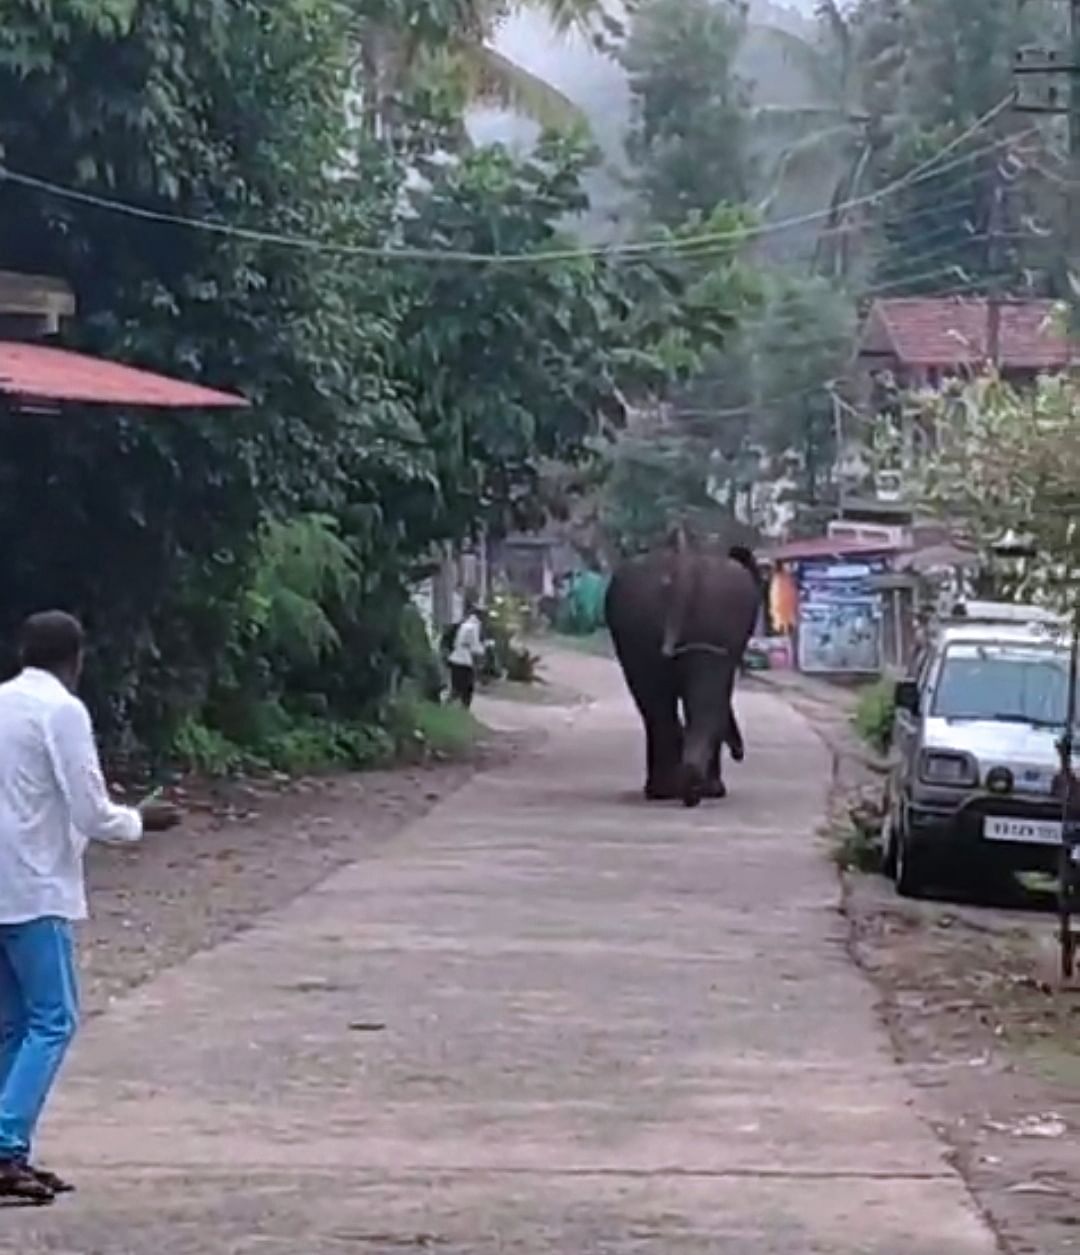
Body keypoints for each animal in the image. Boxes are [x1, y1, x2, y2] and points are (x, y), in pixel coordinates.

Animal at [607, 534, 757, 808]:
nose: (739, 753)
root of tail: (684, 561)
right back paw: (695, 789)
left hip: (639, 625)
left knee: (656, 700)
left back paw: (674, 789)